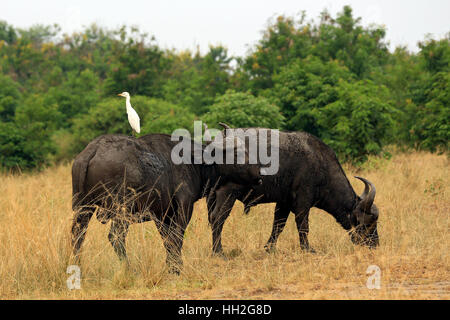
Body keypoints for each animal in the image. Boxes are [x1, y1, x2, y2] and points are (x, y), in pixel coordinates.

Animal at [70, 132, 260, 272]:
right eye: (237, 153)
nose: (259, 174)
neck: (193, 161)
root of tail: (94, 149)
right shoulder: (184, 207)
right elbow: (177, 236)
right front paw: (176, 267)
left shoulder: (162, 215)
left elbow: (167, 239)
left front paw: (171, 264)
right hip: (122, 210)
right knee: (116, 236)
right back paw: (129, 268)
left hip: (83, 208)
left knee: (77, 235)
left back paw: (78, 266)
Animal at [207, 124, 380, 256]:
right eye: (367, 223)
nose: (375, 244)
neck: (321, 165)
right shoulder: (303, 200)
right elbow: (303, 225)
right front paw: (308, 248)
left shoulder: (283, 203)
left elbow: (278, 225)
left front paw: (269, 248)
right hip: (227, 192)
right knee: (218, 218)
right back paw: (218, 251)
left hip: (212, 195)